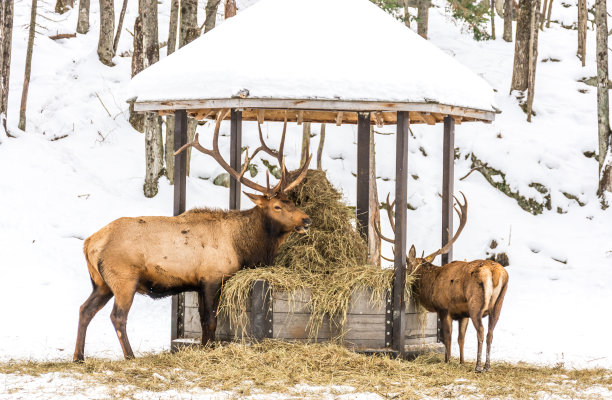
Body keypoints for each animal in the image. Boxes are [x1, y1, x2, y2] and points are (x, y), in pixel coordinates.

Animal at [73, 110, 310, 362]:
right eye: (277, 206)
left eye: (292, 201)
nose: (306, 220)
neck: (242, 247)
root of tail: (89, 244)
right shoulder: (213, 277)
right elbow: (211, 320)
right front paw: (209, 349)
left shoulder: (197, 283)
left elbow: (205, 321)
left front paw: (206, 347)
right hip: (124, 278)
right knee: (117, 316)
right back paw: (130, 356)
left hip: (100, 283)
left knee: (84, 309)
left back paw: (79, 356)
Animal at [378, 194, 506, 372]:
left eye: (407, 267)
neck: (431, 283)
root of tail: (495, 272)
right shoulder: (463, 314)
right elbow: (461, 338)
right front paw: (461, 361)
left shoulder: (444, 308)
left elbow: (448, 337)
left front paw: (447, 360)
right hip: (498, 305)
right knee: (490, 333)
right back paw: (487, 366)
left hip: (476, 303)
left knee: (481, 330)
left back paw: (478, 366)